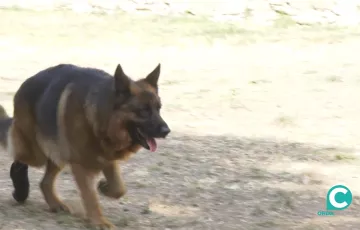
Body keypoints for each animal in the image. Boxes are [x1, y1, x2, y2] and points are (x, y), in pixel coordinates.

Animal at [0, 62, 171, 228]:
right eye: (143, 110)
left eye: (158, 108)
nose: (166, 131)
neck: (101, 118)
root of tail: (26, 83)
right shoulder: (81, 165)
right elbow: (90, 197)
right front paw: (100, 222)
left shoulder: (107, 157)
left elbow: (119, 188)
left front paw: (104, 187)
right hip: (36, 152)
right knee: (20, 160)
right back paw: (21, 190)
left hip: (58, 152)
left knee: (45, 182)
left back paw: (55, 203)